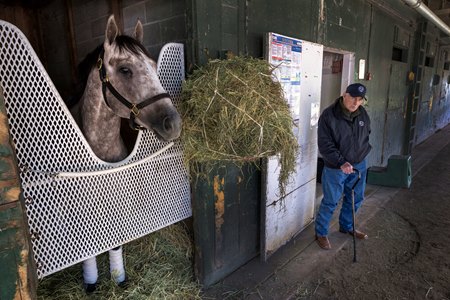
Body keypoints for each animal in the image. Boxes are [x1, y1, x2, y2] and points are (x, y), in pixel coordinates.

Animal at [72, 15, 181, 292]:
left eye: (153, 65)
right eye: (124, 70)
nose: (173, 123)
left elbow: (116, 238)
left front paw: (118, 277)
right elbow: (86, 244)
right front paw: (91, 281)